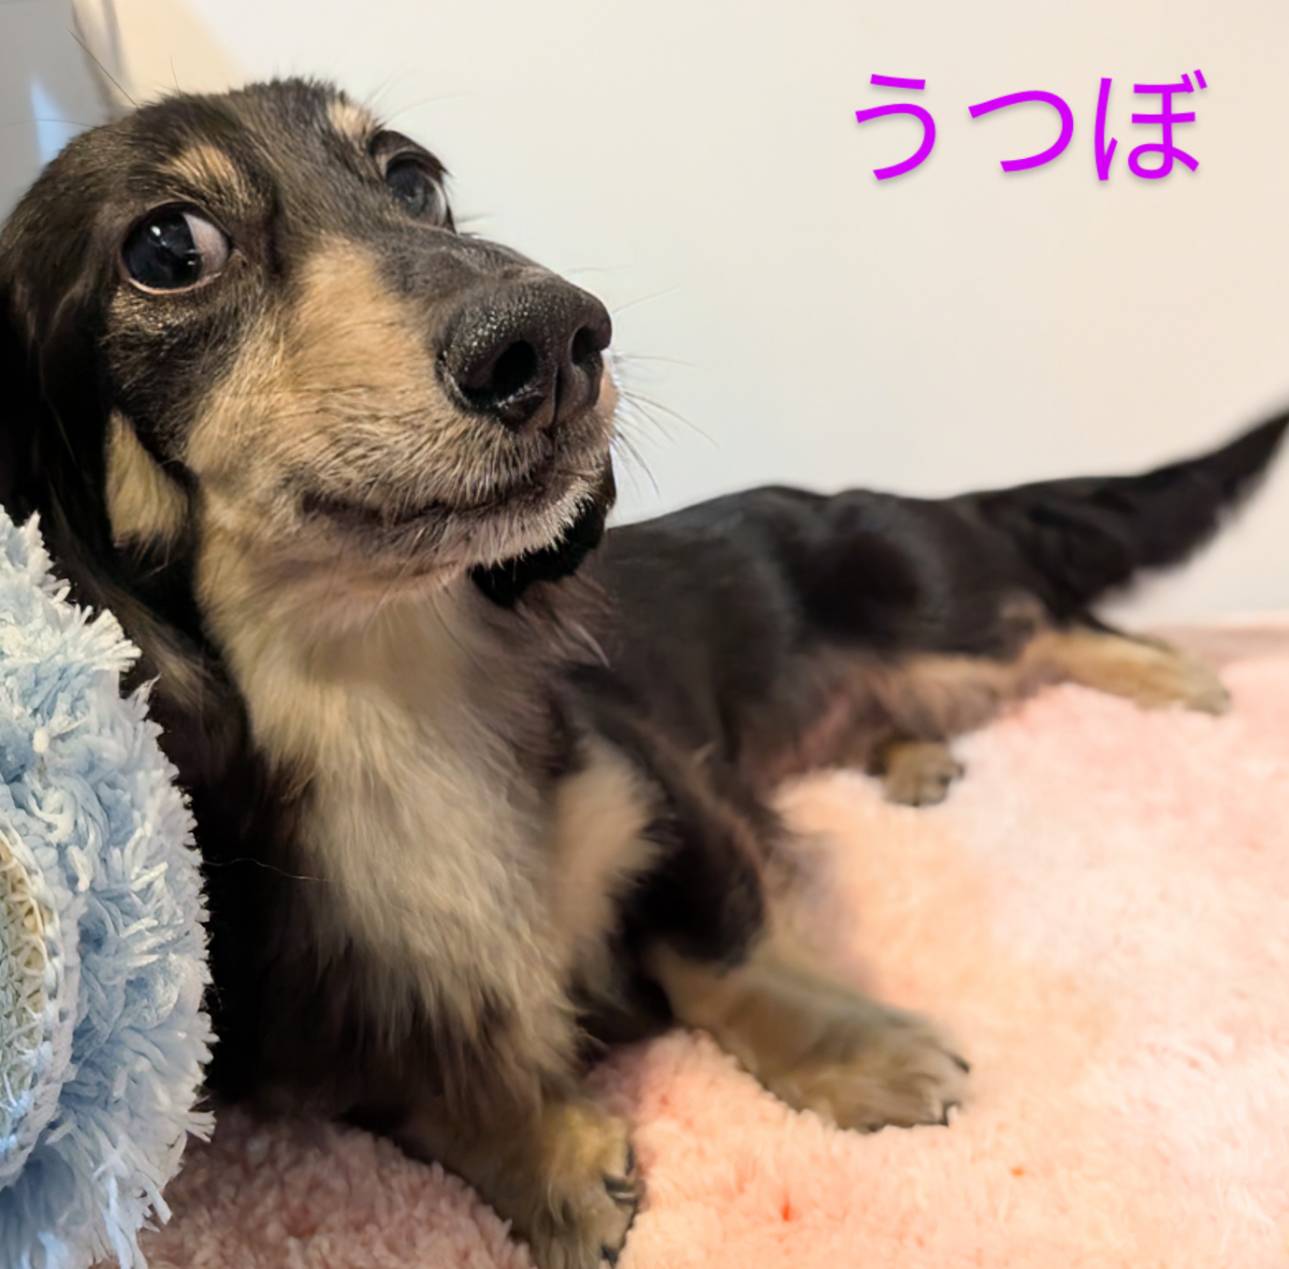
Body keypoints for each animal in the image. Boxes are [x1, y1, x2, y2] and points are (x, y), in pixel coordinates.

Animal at [1, 78, 1283, 1269]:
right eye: (170, 250)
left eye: (412, 180)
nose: (556, 337)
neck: (381, 689)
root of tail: (903, 501)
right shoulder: (303, 1029)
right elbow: (428, 1087)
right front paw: (546, 1159)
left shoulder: (666, 789)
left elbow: (722, 954)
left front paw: (856, 1049)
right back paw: (914, 762)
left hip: (937, 615)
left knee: (1050, 622)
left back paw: (1175, 679)